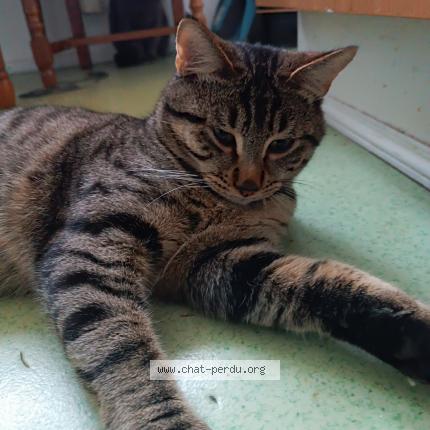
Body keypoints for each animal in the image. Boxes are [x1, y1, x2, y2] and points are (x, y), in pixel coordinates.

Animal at [0, 18, 429, 430]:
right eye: (223, 135)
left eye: (281, 144)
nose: (248, 184)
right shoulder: (91, 247)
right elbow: (120, 347)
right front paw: (163, 420)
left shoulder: (219, 262)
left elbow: (324, 283)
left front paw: (412, 336)